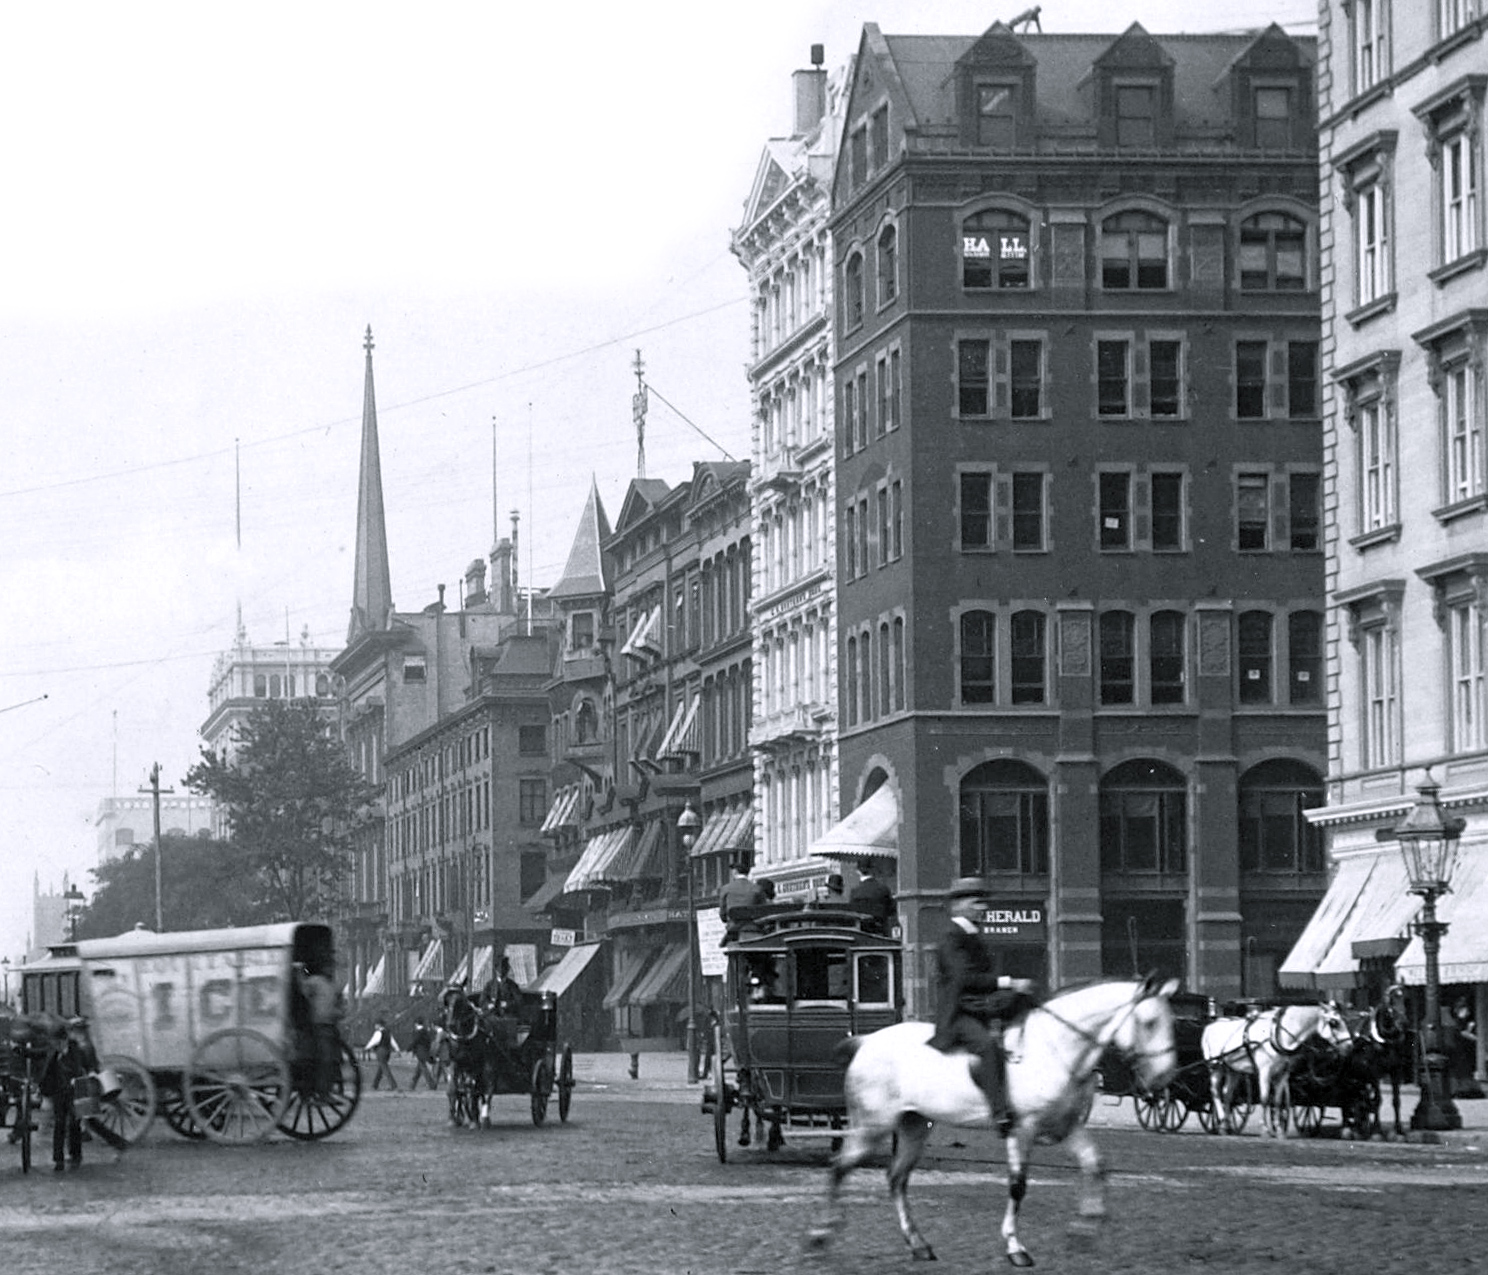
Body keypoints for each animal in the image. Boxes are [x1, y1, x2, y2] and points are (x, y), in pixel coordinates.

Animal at [809, 975, 1178, 1261]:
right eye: (1148, 1023)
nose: (1164, 1078)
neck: (1056, 1049)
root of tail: (865, 1041)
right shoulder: (1022, 1129)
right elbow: (1017, 1186)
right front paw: (1015, 1246)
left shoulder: (1066, 1127)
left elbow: (1095, 1165)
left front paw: (1085, 1229)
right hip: (873, 1124)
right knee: (839, 1167)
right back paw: (820, 1236)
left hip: (914, 1125)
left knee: (896, 1178)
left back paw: (918, 1244)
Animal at [1202, 999, 1357, 1136]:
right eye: (1334, 1022)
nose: (1350, 1046)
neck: (1276, 1034)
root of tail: (1210, 1025)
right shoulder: (1264, 1072)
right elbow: (1265, 1099)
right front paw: (1265, 1129)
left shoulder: (1283, 1074)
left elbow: (1277, 1101)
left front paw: (1279, 1129)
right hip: (1215, 1066)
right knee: (1215, 1092)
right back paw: (1221, 1122)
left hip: (1233, 1069)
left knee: (1227, 1095)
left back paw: (1225, 1125)